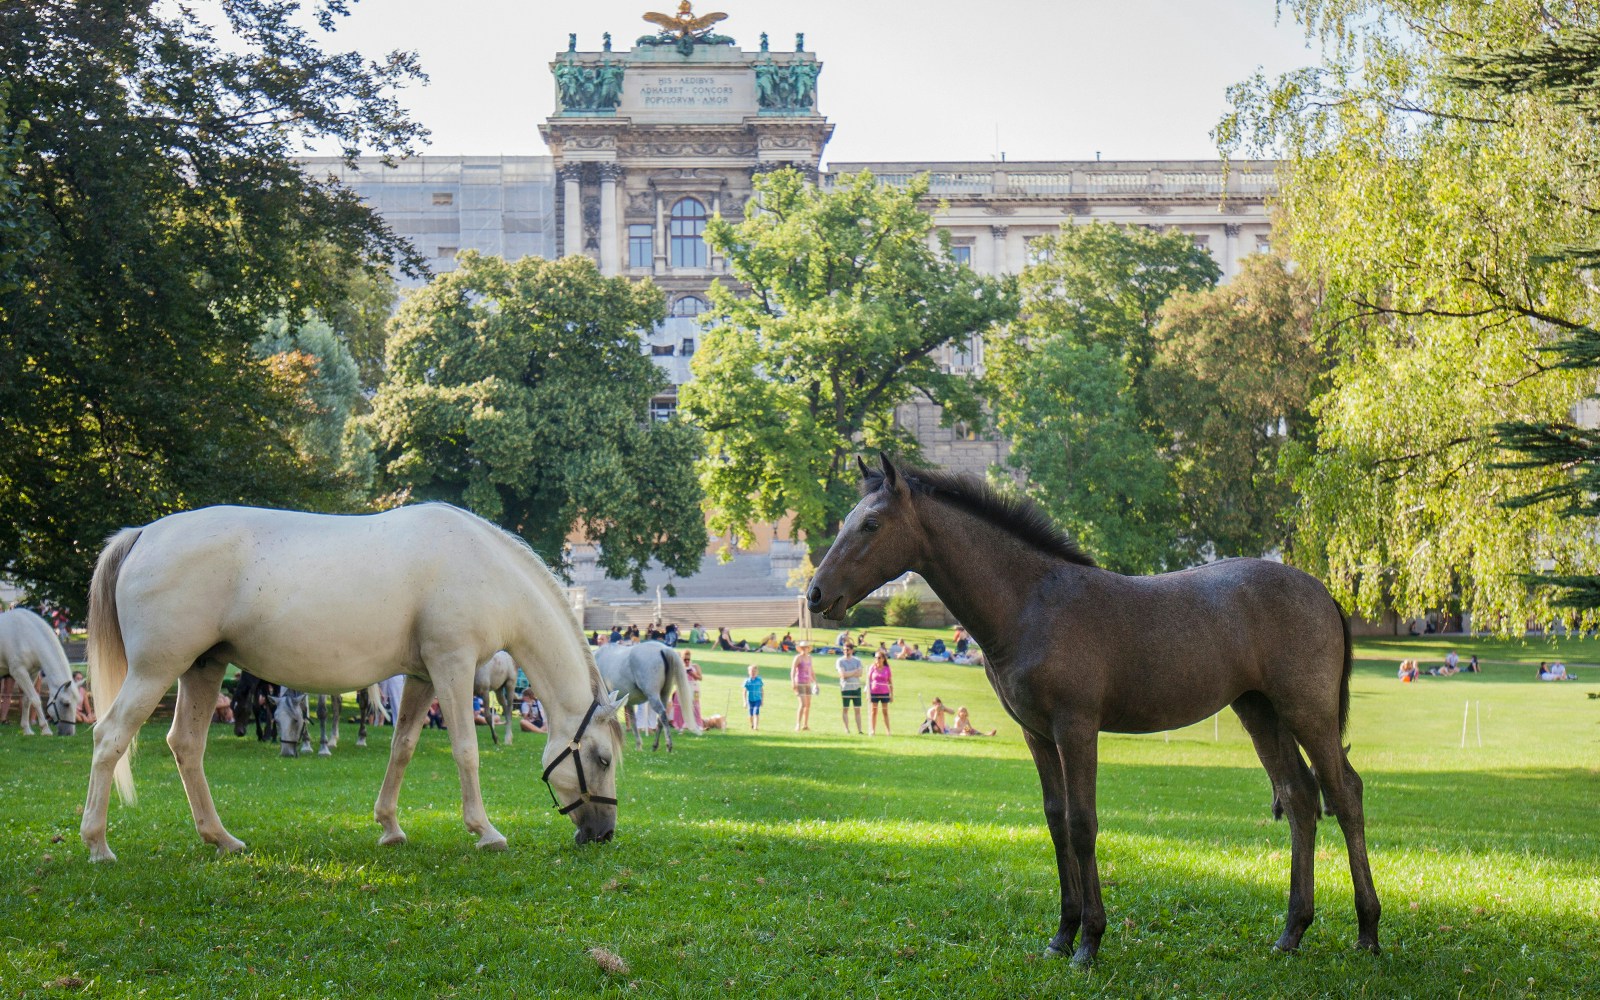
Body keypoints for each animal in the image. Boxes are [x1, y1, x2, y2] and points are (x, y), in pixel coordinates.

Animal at [0, 604, 80, 736]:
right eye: (66, 704)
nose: (69, 733)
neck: (27, 636)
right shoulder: (19, 672)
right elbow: (35, 699)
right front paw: (45, 729)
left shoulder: (32, 673)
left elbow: (27, 700)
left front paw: (27, 730)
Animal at [84, 502, 627, 864]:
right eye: (602, 759)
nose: (604, 834)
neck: (483, 566)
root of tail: (143, 534)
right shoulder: (452, 665)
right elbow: (466, 750)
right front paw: (486, 831)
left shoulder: (421, 676)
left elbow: (402, 748)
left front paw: (389, 827)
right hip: (155, 671)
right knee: (109, 737)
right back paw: (98, 845)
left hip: (203, 668)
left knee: (186, 745)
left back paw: (221, 838)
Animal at [806, 457, 1382, 966]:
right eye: (846, 520)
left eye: (871, 524)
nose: (815, 593)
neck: (1030, 602)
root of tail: (1323, 591)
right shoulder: (1038, 735)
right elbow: (1056, 821)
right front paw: (1062, 935)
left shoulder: (1076, 728)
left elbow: (1083, 824)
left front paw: (1090, 942)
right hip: (1260, 711)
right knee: (1301, 797)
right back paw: (1291, 933)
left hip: (1308, 712)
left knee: (1345, 794)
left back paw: (1368, 932)